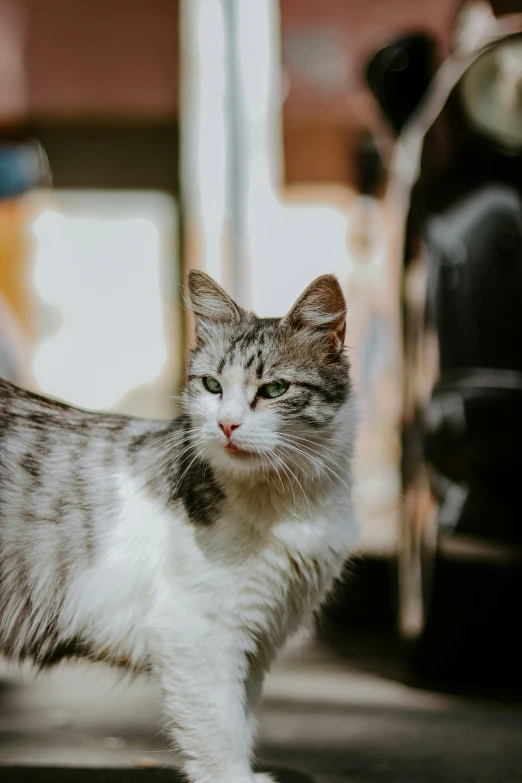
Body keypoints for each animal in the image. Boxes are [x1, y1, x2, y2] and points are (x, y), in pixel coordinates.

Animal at [0, 272, 354, 783]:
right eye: (211, 385)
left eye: (273, 390)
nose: (226, 425)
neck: (291, 500)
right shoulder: (197, 632)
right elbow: (219, 735)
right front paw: (234, 776)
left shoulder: (257, 641)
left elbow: (241, 721)